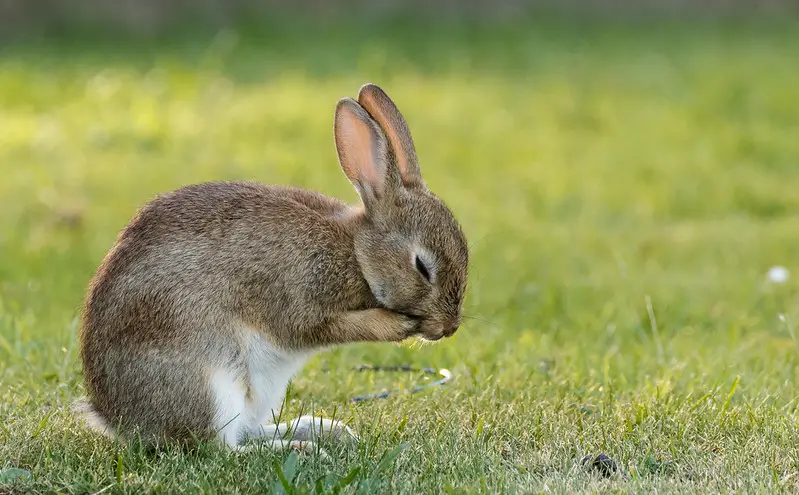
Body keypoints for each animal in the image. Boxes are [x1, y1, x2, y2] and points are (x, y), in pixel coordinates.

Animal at [75, 82, 468, 458]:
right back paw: (302, 449)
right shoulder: (299, 300)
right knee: (218, 448)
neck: (355, 252)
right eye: (422, 267)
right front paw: (396, 325)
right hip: (212, 383)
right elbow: (324, 328)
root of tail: (114, 418)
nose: (448, 328)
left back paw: (324, 430)